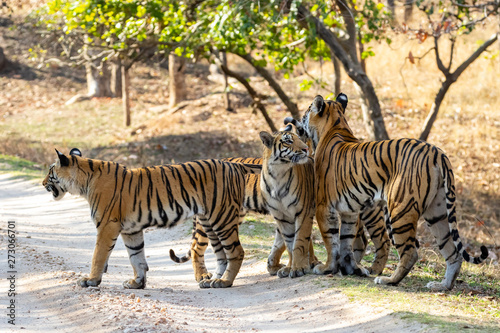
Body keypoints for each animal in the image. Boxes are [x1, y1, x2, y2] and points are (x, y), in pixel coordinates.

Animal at [42, 148, 262, 288]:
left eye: (51, 171)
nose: (43, 183)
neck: (83, 183)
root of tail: (235, 165)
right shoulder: (131, 230)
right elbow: (136, 256)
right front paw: (137, 283)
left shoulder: (107, 225)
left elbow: (98, 255)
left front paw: (90, 280)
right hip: (209, 222)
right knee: (221, 255)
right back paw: (211, 281)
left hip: (222, 219)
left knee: (236, 252)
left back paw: (225, 282)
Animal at [286, 92, 488, 288]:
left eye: (306, 111)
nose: (296, 120)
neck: (336, 125)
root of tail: (437, 152)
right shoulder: (349, 211)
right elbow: (346, 240)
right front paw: (350, 268)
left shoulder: (324, 206)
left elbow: (331, 240)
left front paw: (328, 267)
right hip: (437, 213)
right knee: (453, 252)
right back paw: (442, 285)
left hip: (399, 211)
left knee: (410, 251)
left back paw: (389, 280)